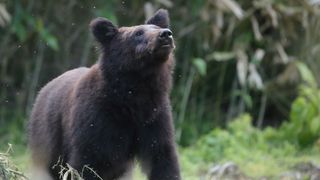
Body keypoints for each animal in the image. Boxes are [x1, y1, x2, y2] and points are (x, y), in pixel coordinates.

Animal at [28, 9, 180, 180]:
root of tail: (43, 89)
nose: (166, 34)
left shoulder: (155, 118)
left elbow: (162, 157)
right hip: (49, 131)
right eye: (138, 33)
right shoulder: (97, 120)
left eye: (156, 26)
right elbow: (88, 162)